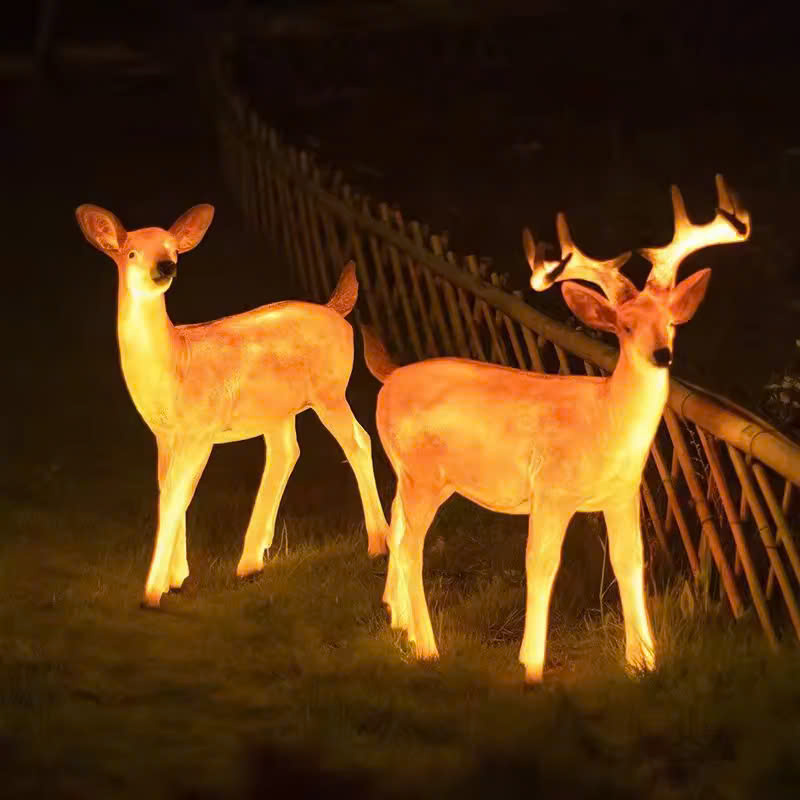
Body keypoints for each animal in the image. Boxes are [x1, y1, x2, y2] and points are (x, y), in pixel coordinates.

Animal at [75, 203, 389, 609]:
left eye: (173, 250)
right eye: (131, 253)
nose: (165, 267)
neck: (175, 362)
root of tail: (336, 311)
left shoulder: (200, 429)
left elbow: (176, 495)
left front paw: (152, 592)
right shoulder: (165, 434)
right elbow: (169, 492)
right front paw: (177, 578)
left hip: (330, 391)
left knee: (358, 441)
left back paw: (378, 544)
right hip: (277, 409)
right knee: (286, 453)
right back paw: (251, 561)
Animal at [361, 174, 749, 682]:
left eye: (670, 322)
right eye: (624, 327)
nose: (661, 354)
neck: (604, 425)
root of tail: (389, 378)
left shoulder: (622, 494)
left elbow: (630, 563)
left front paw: (643, 660)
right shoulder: (549, 490)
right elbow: (541, 564)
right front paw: (532, 664)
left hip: (417, 474)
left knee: (397, 522)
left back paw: (399, 620)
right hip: (424, 474)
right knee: (411, 544)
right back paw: (427, 646)